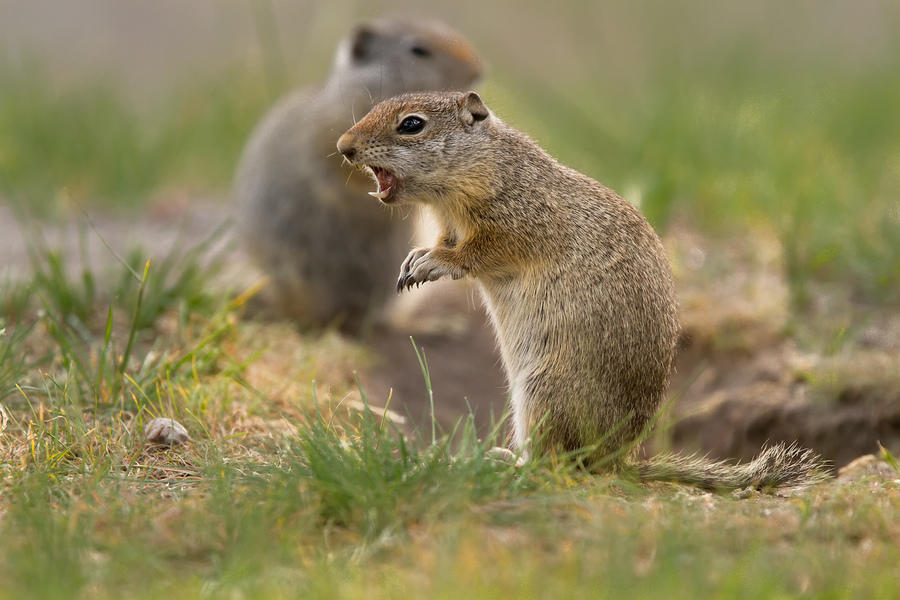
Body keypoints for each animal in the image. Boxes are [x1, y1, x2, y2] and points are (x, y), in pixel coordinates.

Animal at [338, 91, 828, 490]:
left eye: (412, 124)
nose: (344, 147)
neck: (487, 166)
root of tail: (618, 461)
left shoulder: (514, 223)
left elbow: (475, 253)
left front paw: (432, 263)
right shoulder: (448, 225)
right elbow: (443, 243)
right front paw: (415, 260)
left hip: (545, 393)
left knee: (557, 462)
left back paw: (508, 464)